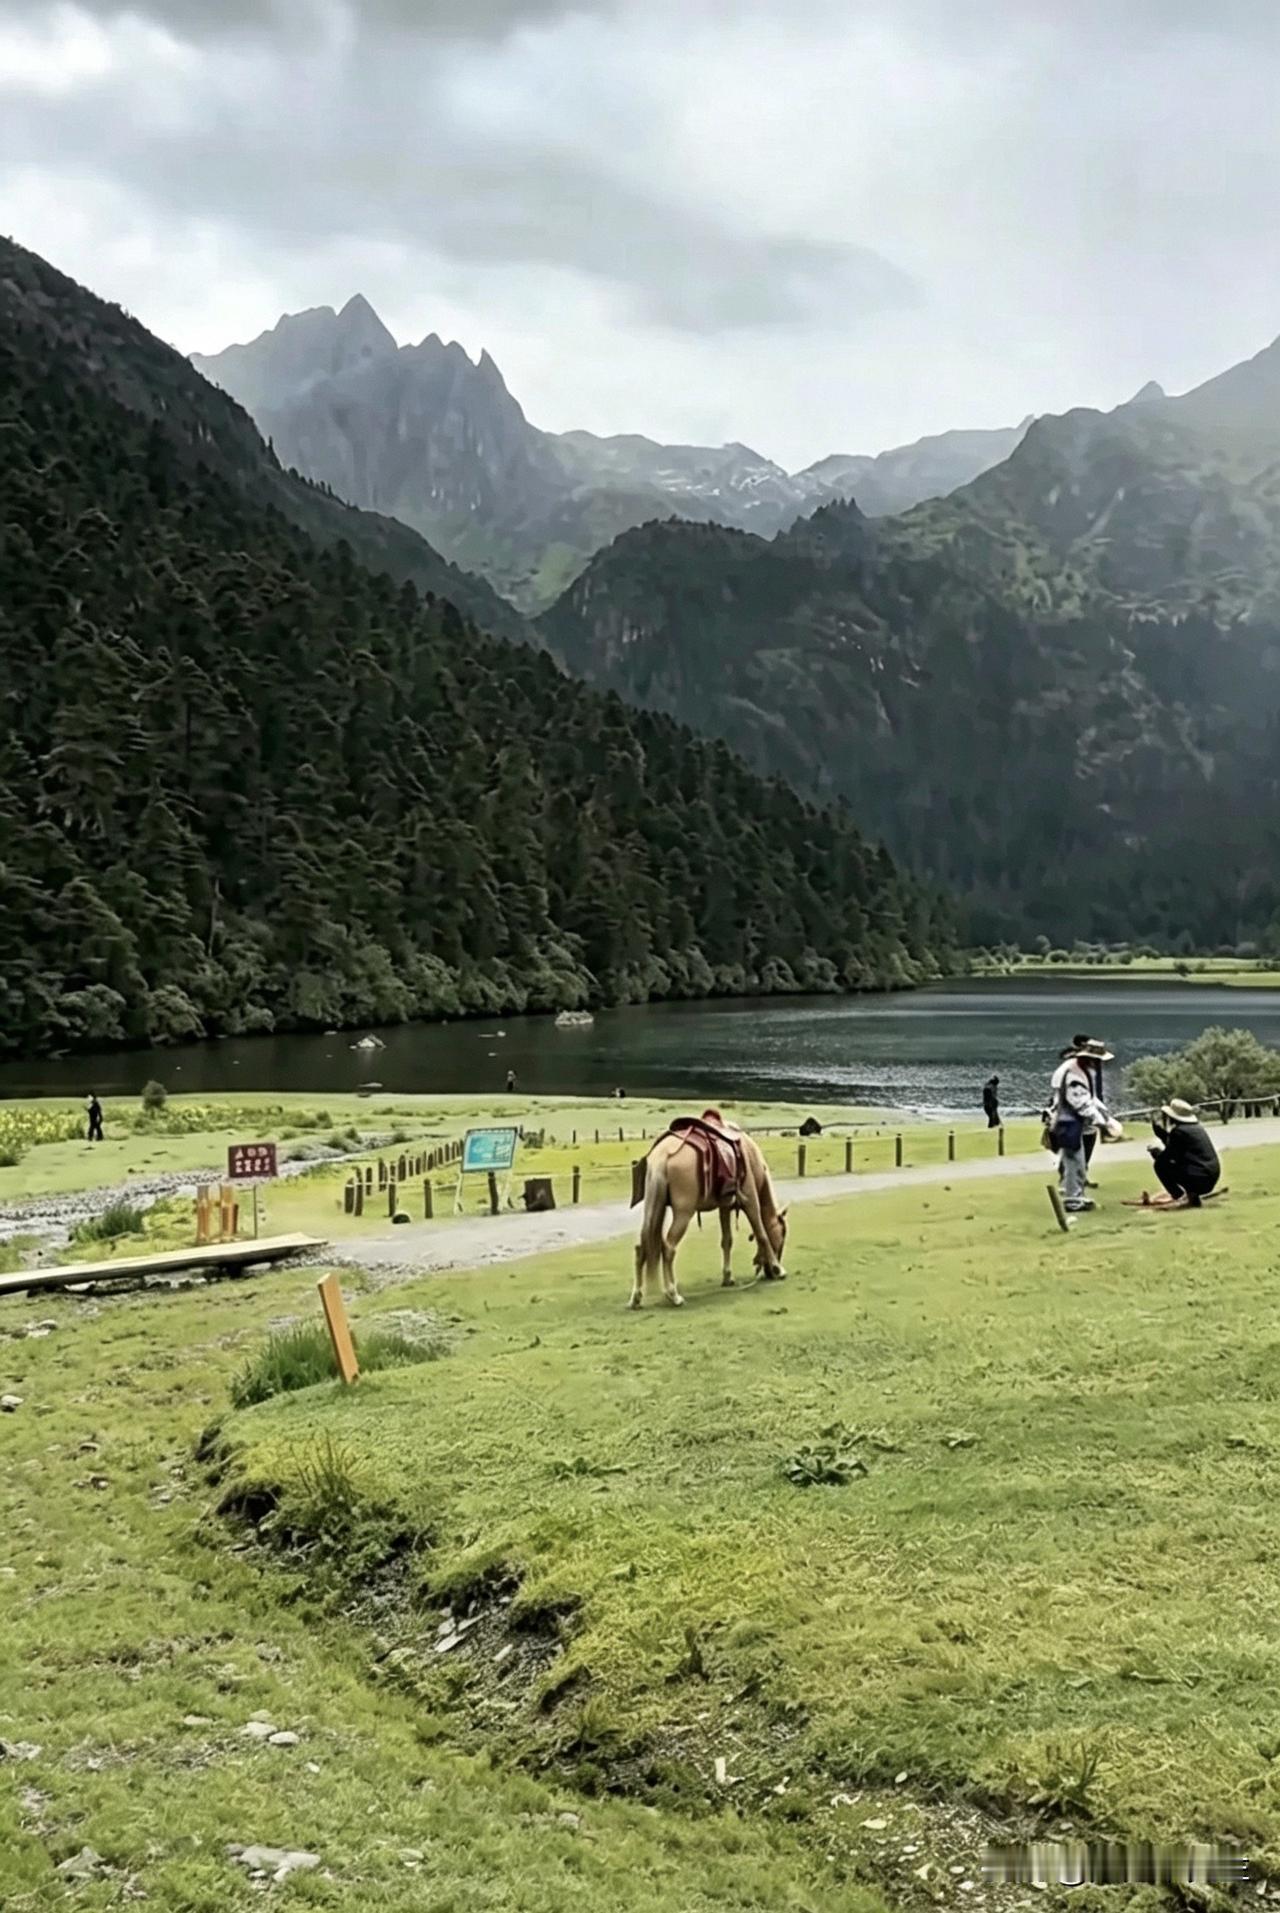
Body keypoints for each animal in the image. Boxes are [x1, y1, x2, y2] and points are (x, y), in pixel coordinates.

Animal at [630, 1120, 788, 1309]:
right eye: (783, 1235)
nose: (769, 1272)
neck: (749, 1155)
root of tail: (663, 1156)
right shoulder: (750, 1201)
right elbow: (762, 1234)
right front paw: (779, 1269)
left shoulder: (725, 1206)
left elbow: (727, 1240)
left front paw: (728, 1277)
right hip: (683, 1213)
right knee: (668, 1248)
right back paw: (673, 1294)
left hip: (652, 1208)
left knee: (641, 1247)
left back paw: (636, 1297)